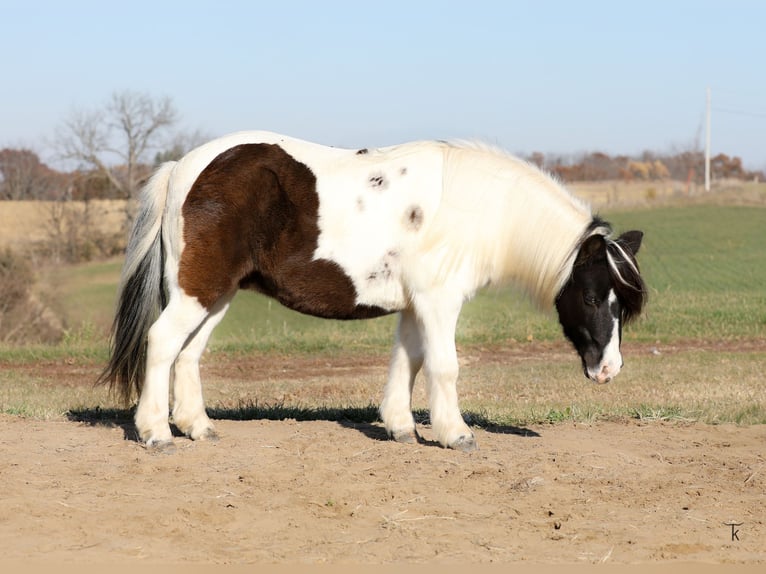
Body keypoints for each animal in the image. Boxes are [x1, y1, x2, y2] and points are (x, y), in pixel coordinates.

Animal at [97, 131, 646, 452]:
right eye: (594, 298)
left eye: (623, 306)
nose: (609, 371)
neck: (474, 204)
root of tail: (183, 166)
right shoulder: (438, 303)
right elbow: (443, 366)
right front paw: (456, 434)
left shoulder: (415, 306)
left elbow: (408, 361)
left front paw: (402, 426)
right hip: (199, 290)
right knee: (162, 343)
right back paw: (156, 433)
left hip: (215, 293)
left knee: (188, 354)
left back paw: (197, 426)